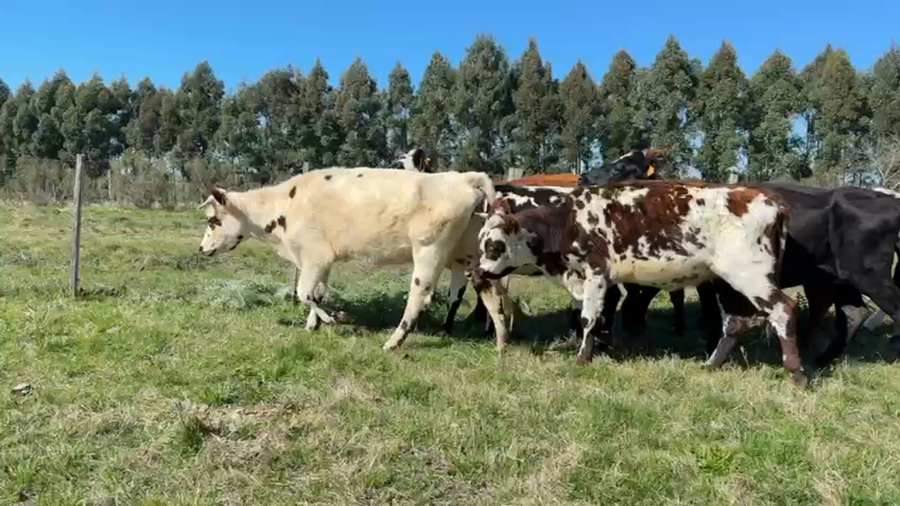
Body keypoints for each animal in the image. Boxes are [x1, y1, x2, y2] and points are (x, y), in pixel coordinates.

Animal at [196, 167, 513, 352]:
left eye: (213, 220)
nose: (201, 249)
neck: (284, 205)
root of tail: (463, 176)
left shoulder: (315, 255)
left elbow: (304, 293)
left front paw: (335, 318)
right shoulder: (322, 261)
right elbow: (318, 293)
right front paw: (313, 325)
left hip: (429, 249)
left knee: (420, 297)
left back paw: (392, 343)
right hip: (470, 256)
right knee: (492, 295)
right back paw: (500, 344)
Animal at [474, 180, 809, 388]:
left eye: (493, 246)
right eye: (480, 242)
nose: (476, 273)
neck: (567, 222)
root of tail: (771, 201)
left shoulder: (596, 273)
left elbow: (588, 318)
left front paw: (582, 358)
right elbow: (600, 318)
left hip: (751, 276)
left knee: (783, 311)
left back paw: (796, 374)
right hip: (724, 280)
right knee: (736, 322)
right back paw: (711, 364)